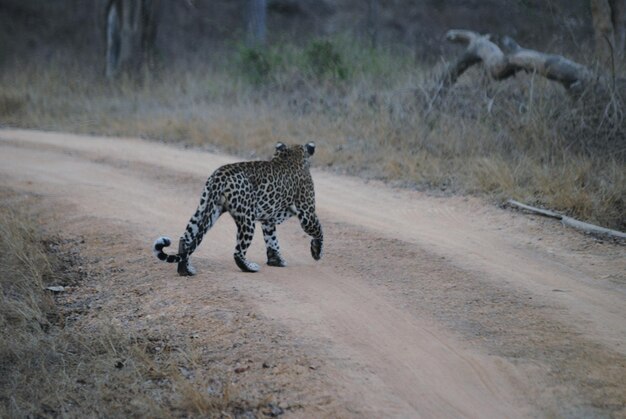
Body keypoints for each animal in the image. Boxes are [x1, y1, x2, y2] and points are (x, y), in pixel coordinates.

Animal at [152, 143, 322, 278]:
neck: (291, 154)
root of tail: (219, 175)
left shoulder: (268, 220)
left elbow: (272, 239)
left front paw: (276, 260)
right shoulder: (307, 213)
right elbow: (319, 230)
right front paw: (316, 252)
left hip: (206, 209)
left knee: (186, 239)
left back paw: (186, 270)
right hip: (247, 218)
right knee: (238, 252)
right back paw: (250, 267)